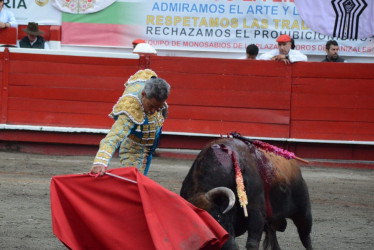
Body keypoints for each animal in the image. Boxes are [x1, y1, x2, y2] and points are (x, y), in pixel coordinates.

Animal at [180, 139, 312, 250]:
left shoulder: (256, 211)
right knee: (273, 238)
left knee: (305, 237)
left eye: (217, 217)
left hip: (303, 212)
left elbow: (252, 243)